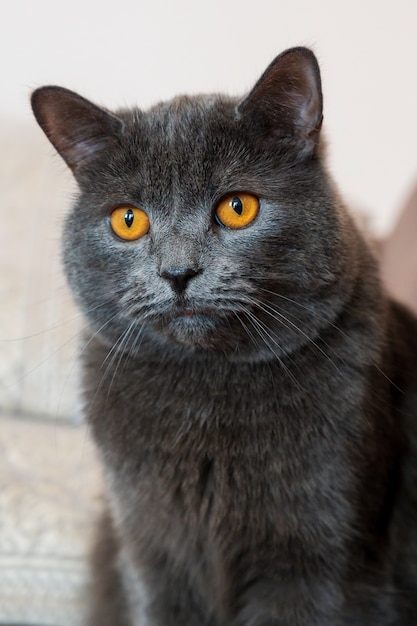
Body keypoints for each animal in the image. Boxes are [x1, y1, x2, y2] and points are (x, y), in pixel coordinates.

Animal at [30, 46, 416, 620]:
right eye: (128, 220)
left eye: (238, 208)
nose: (178, 272)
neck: (205, 393)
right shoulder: (150, 555)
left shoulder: (315, 562)